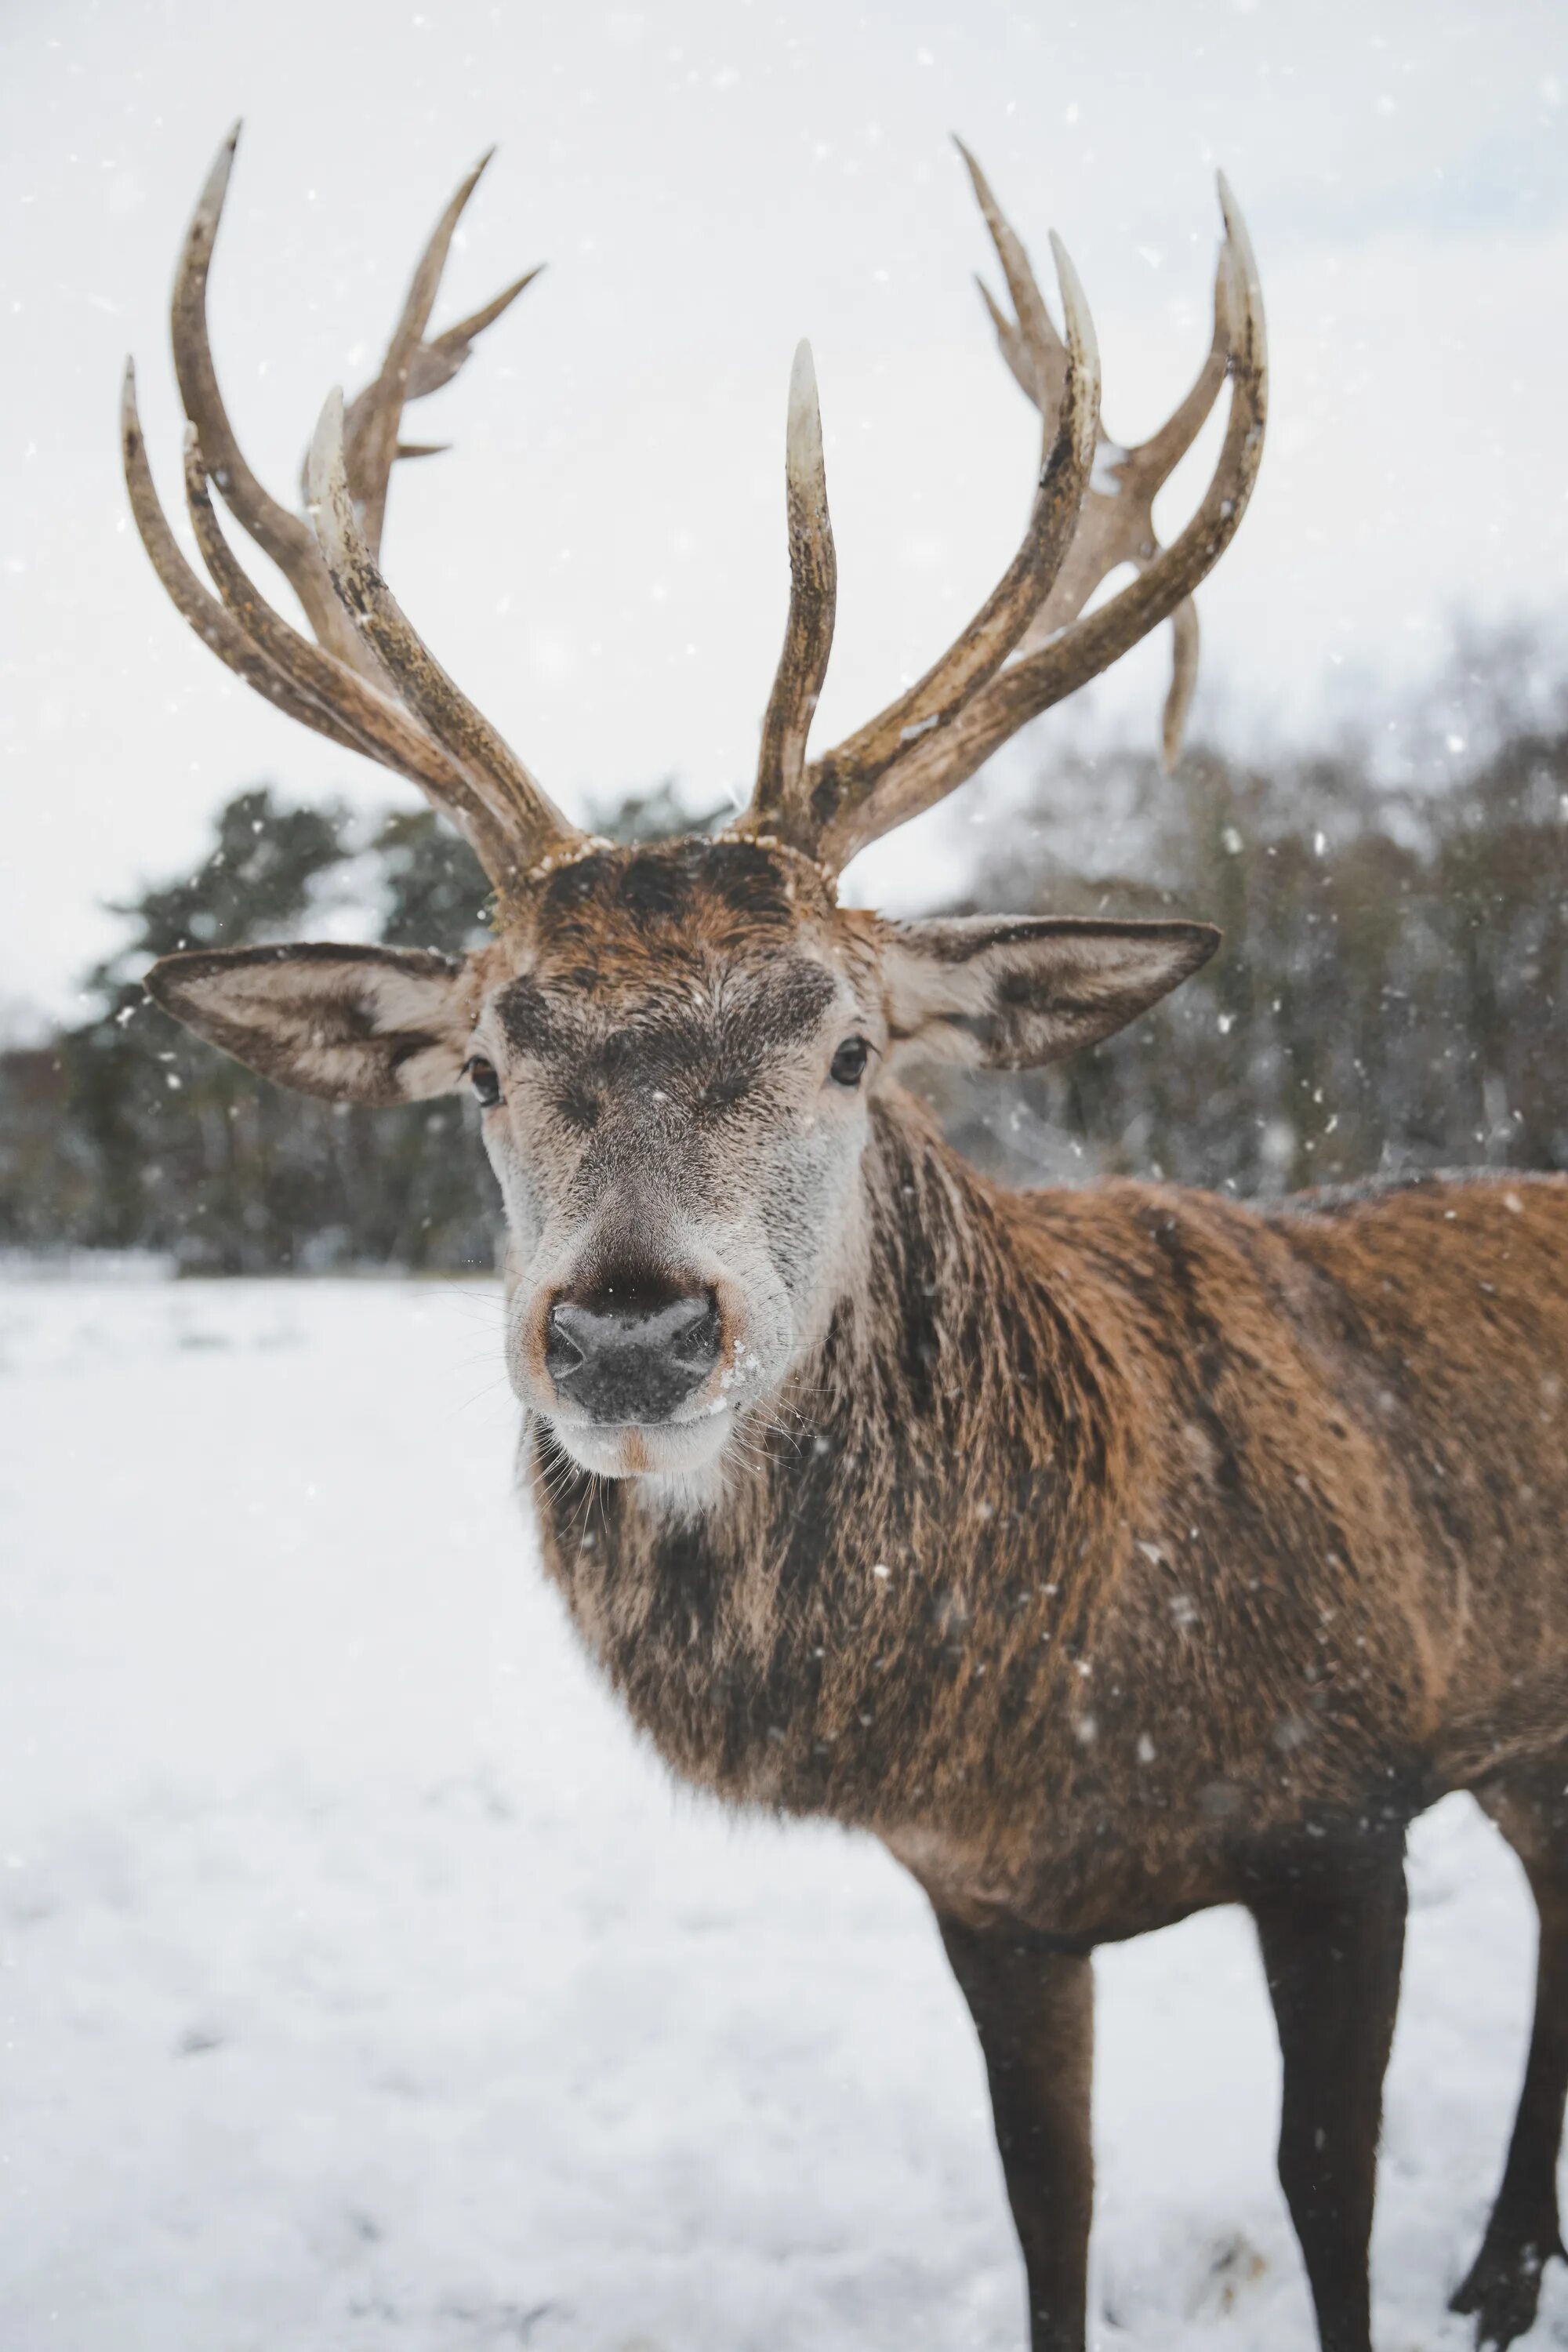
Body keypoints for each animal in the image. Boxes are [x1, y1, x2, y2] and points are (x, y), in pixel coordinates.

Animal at [125, 124, 1568, 2352]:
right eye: (482, 1064)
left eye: (848, 1042)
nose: (629, 1330)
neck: (1065, 1706)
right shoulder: (983, 1898)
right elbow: (1046, 2205)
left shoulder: (1345, 1802)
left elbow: (1321, 2198)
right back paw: (1502, 2265)